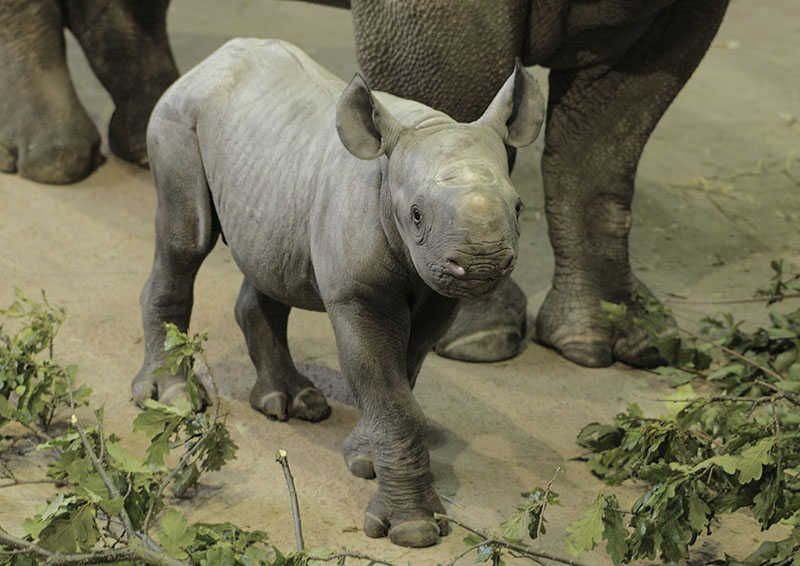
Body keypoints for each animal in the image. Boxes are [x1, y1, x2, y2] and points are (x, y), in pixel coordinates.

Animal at [135, 38, 544, 547]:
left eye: (520, 207)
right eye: (416, 214)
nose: (483, 263)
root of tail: (207, 63)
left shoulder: (438, 294)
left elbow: (402, 377)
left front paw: (364, 459)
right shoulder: (358, 295)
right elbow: (390, 392)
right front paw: (413, 529)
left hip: (269, 165)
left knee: (269, 264)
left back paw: (290, 404)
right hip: (177, 119)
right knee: (185, 241)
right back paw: (172, 399)